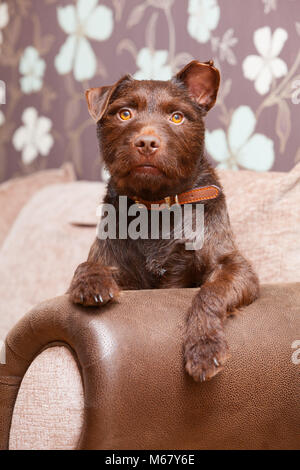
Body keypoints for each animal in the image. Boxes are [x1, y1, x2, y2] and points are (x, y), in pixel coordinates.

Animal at [67, 59, 258, 382]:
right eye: (125, 113)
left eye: (177, 117)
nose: (146, 142)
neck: (156, 206)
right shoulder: (114, 262)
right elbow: (86, 264)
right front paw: (91, 281)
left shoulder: (236, 268)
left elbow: (210, 292)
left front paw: (203, 347)